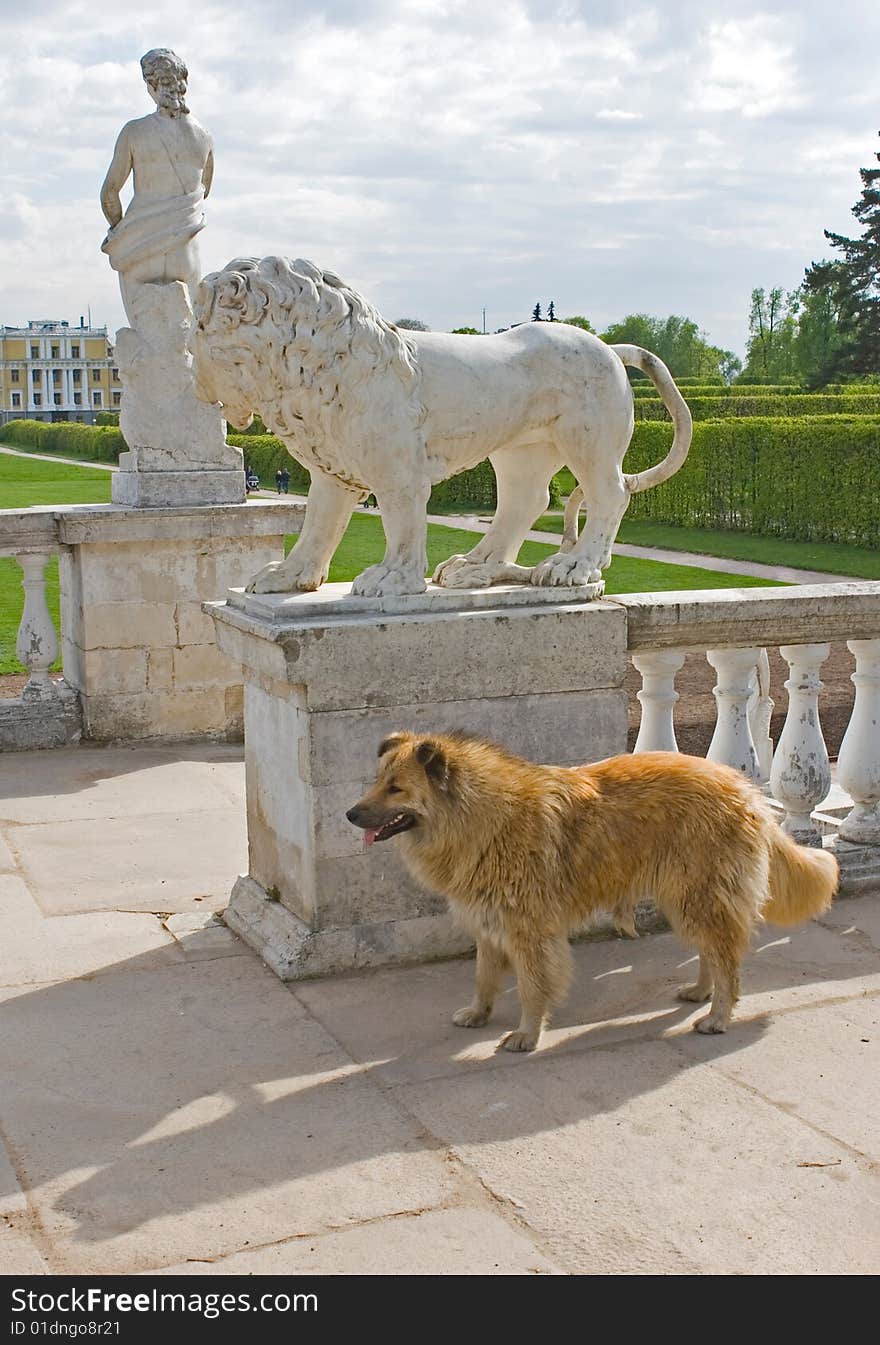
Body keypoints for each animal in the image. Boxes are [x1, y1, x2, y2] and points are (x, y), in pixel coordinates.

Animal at [347, 737, 839, 1049]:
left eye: (396, 788)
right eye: (376, 781)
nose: (350, 814)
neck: (479, 817)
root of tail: (746, 790)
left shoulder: (531, 932)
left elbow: (532, 988)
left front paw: (527, 1035)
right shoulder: (489, 923)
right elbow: (484, 978)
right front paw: (478, 1014)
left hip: (700, 895)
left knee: (728, 962)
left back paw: (718, 1016)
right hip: (687, 897)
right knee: (711, 952)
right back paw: (701, 992)